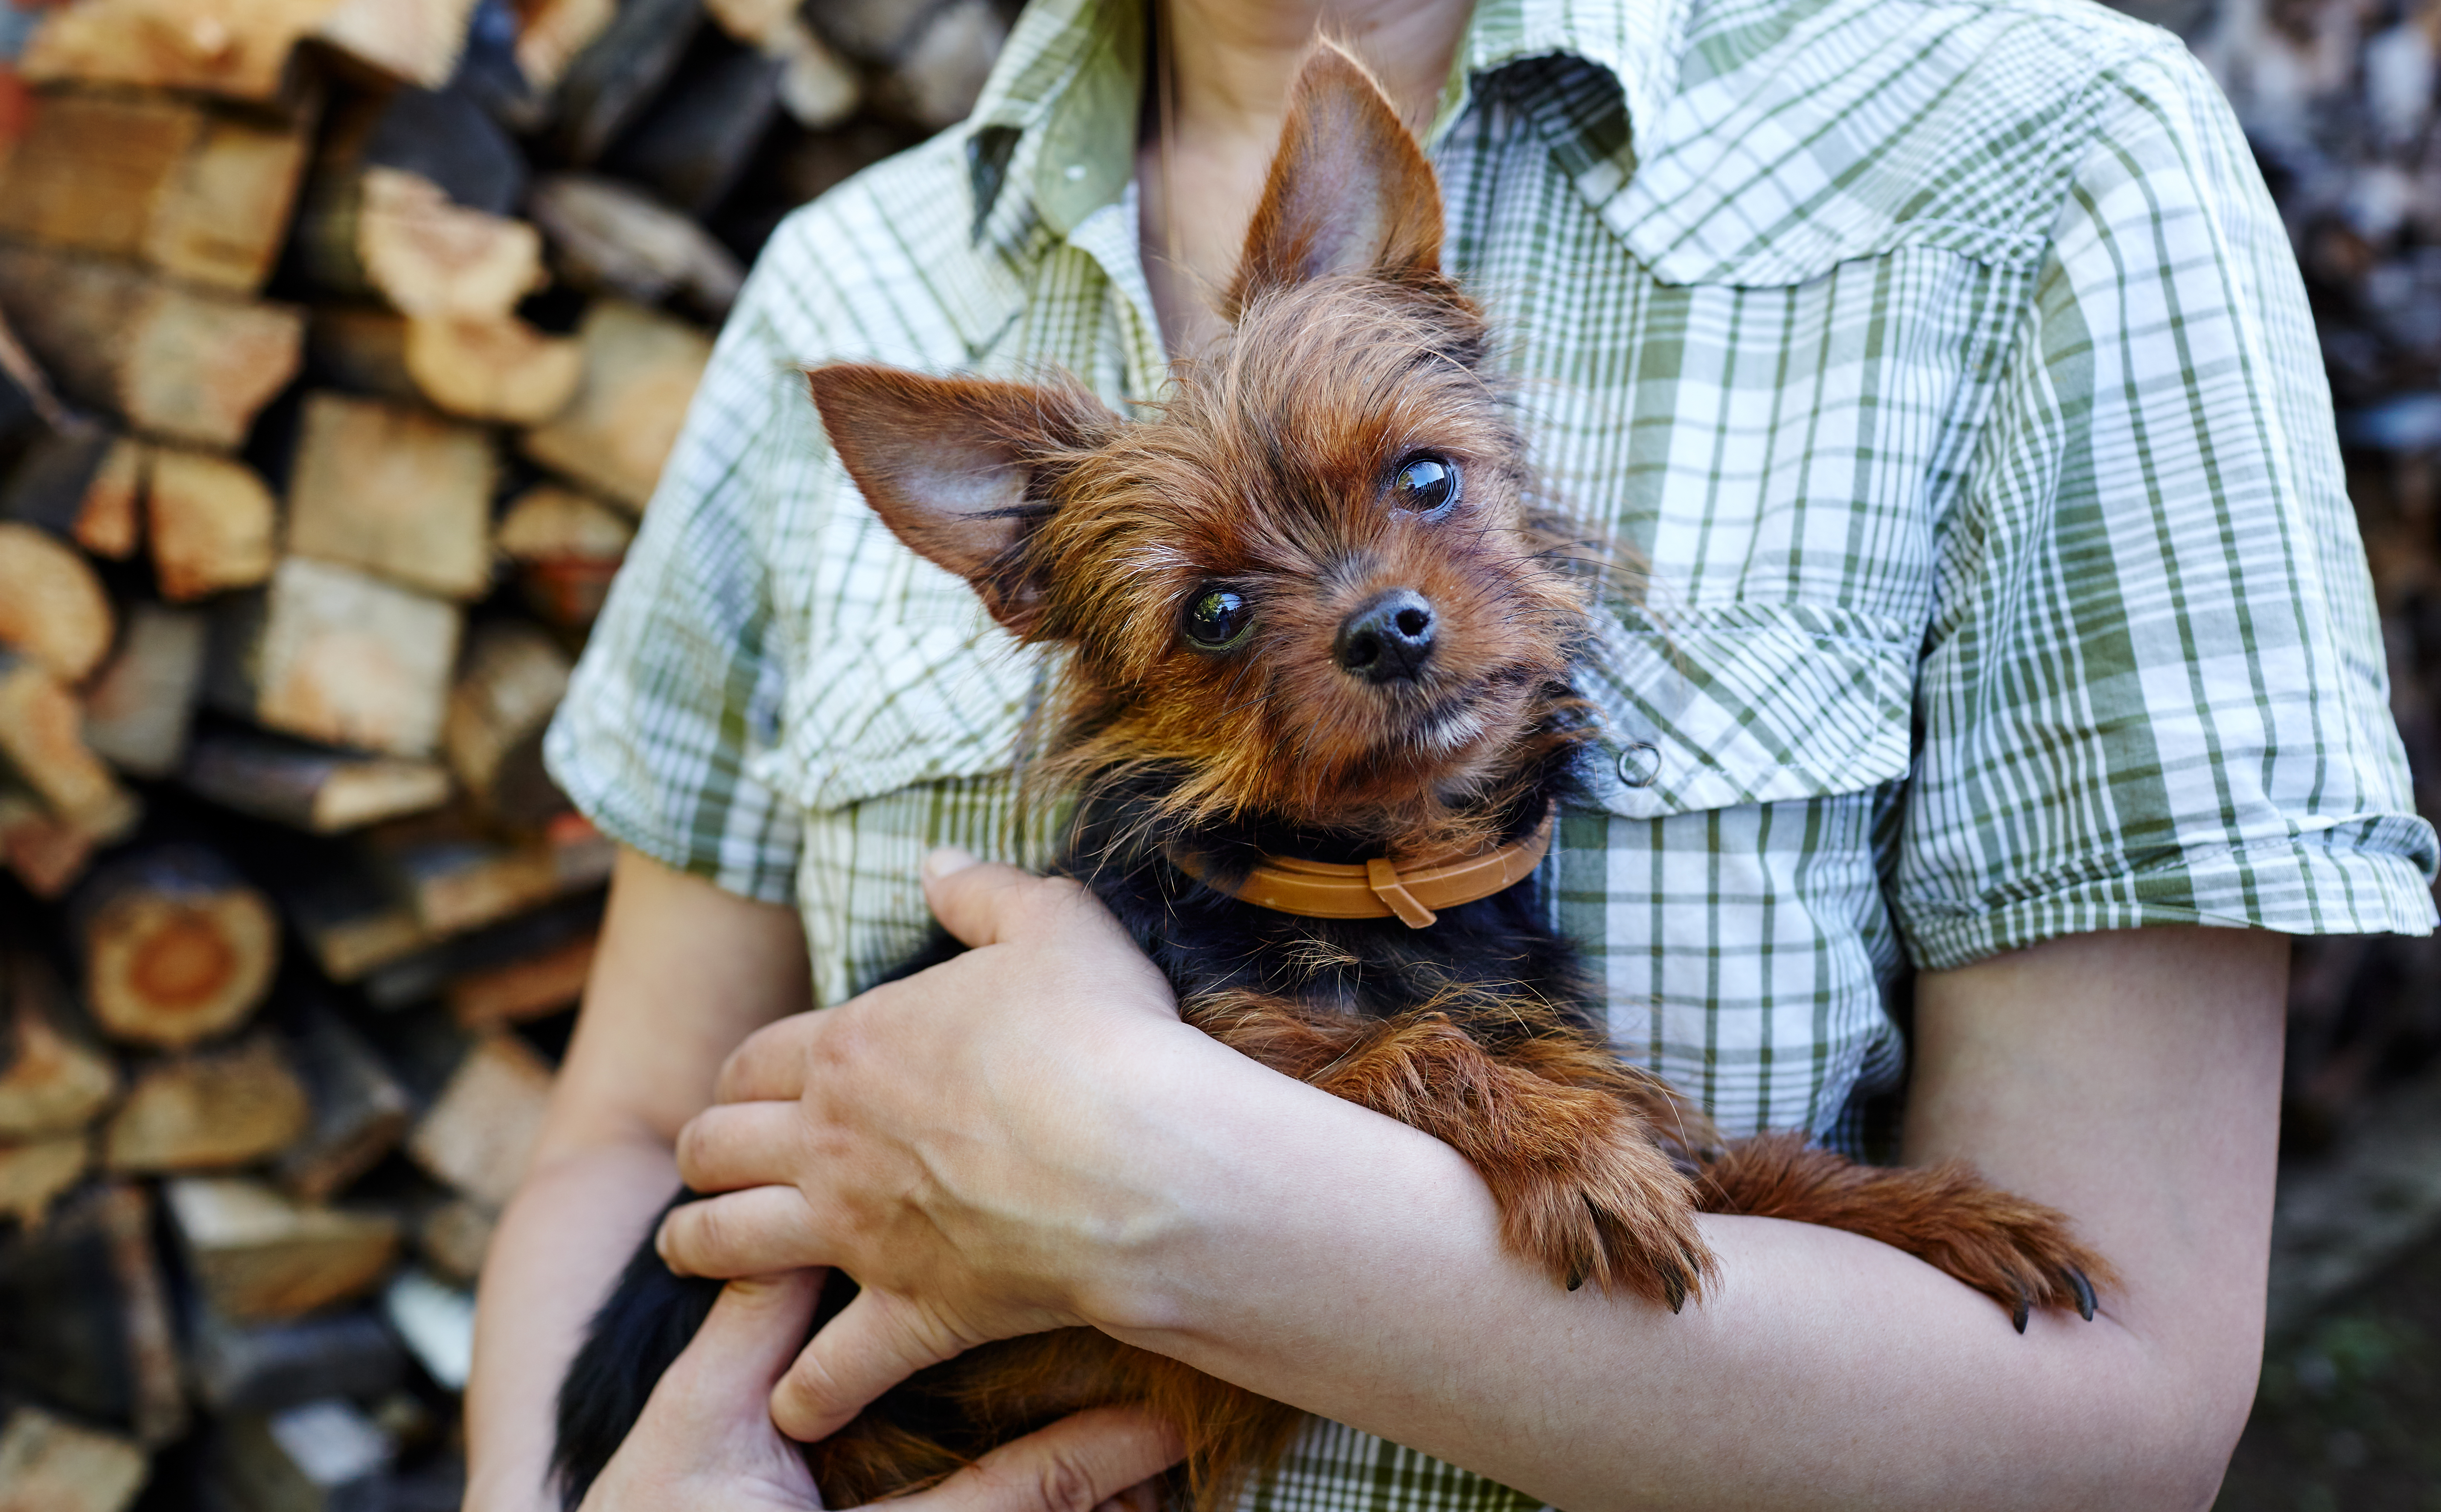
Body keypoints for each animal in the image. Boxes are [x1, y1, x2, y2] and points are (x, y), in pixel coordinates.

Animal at [549, 44, 2099, 1512]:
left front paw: (1936, 1211)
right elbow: (1403, 1054)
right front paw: (1573, 1158)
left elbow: (1746, 1166)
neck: (1382, 883)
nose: (1387, 626)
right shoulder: (1243, 1049)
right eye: (1215, 615)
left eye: (1424, 479)